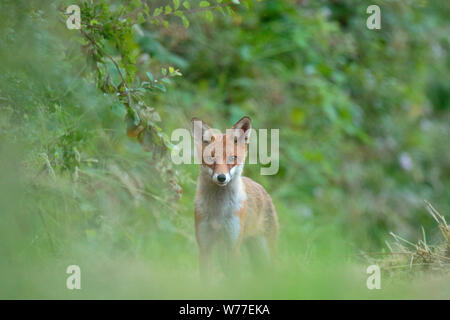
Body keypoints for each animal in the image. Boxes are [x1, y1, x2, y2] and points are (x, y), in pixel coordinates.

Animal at [192, 116, 280, 276]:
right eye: (211, 158)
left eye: (232, 158)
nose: (221, 177)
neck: (218, 211)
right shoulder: (205, 246)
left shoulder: (233, 247)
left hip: (264, 253)